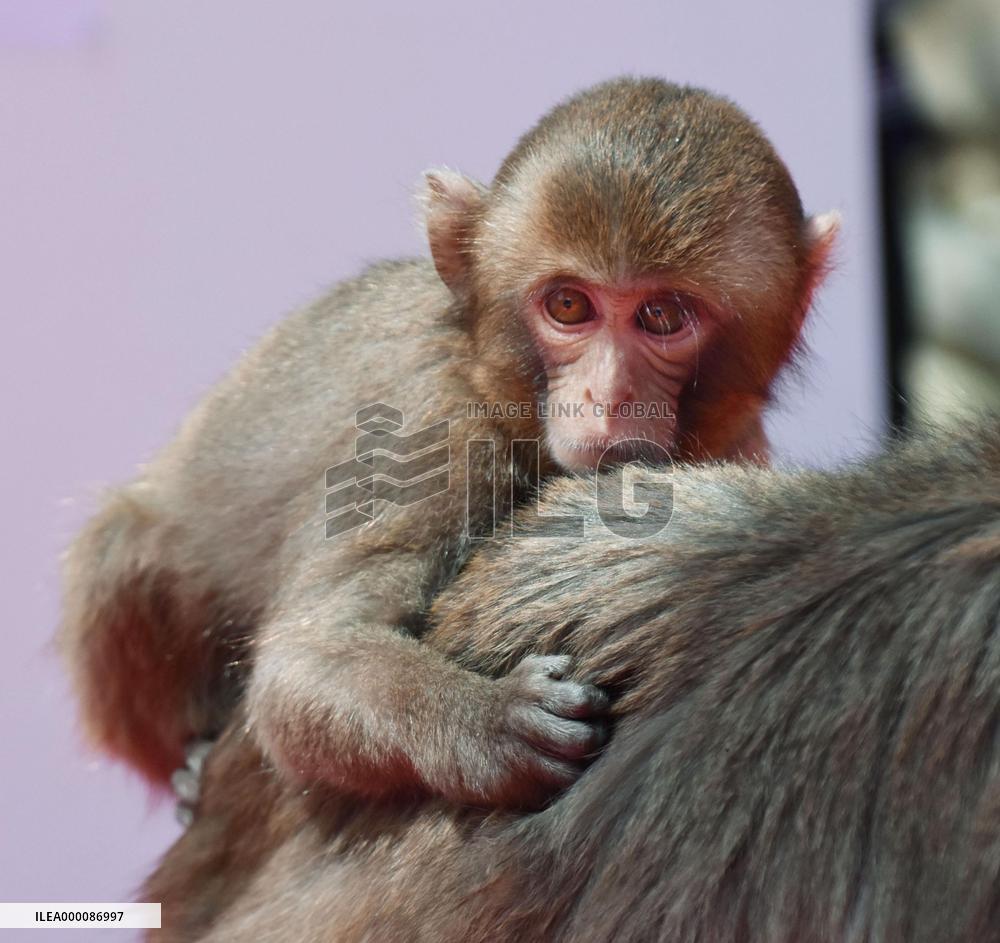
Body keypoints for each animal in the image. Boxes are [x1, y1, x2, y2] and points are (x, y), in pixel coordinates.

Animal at [59, 76, 838, 812]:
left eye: (664, 317)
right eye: (568, 306)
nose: (609, 396)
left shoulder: (736, 438)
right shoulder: (429, 427)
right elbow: (303, 662)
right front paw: (486, 720)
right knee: (128, 551)